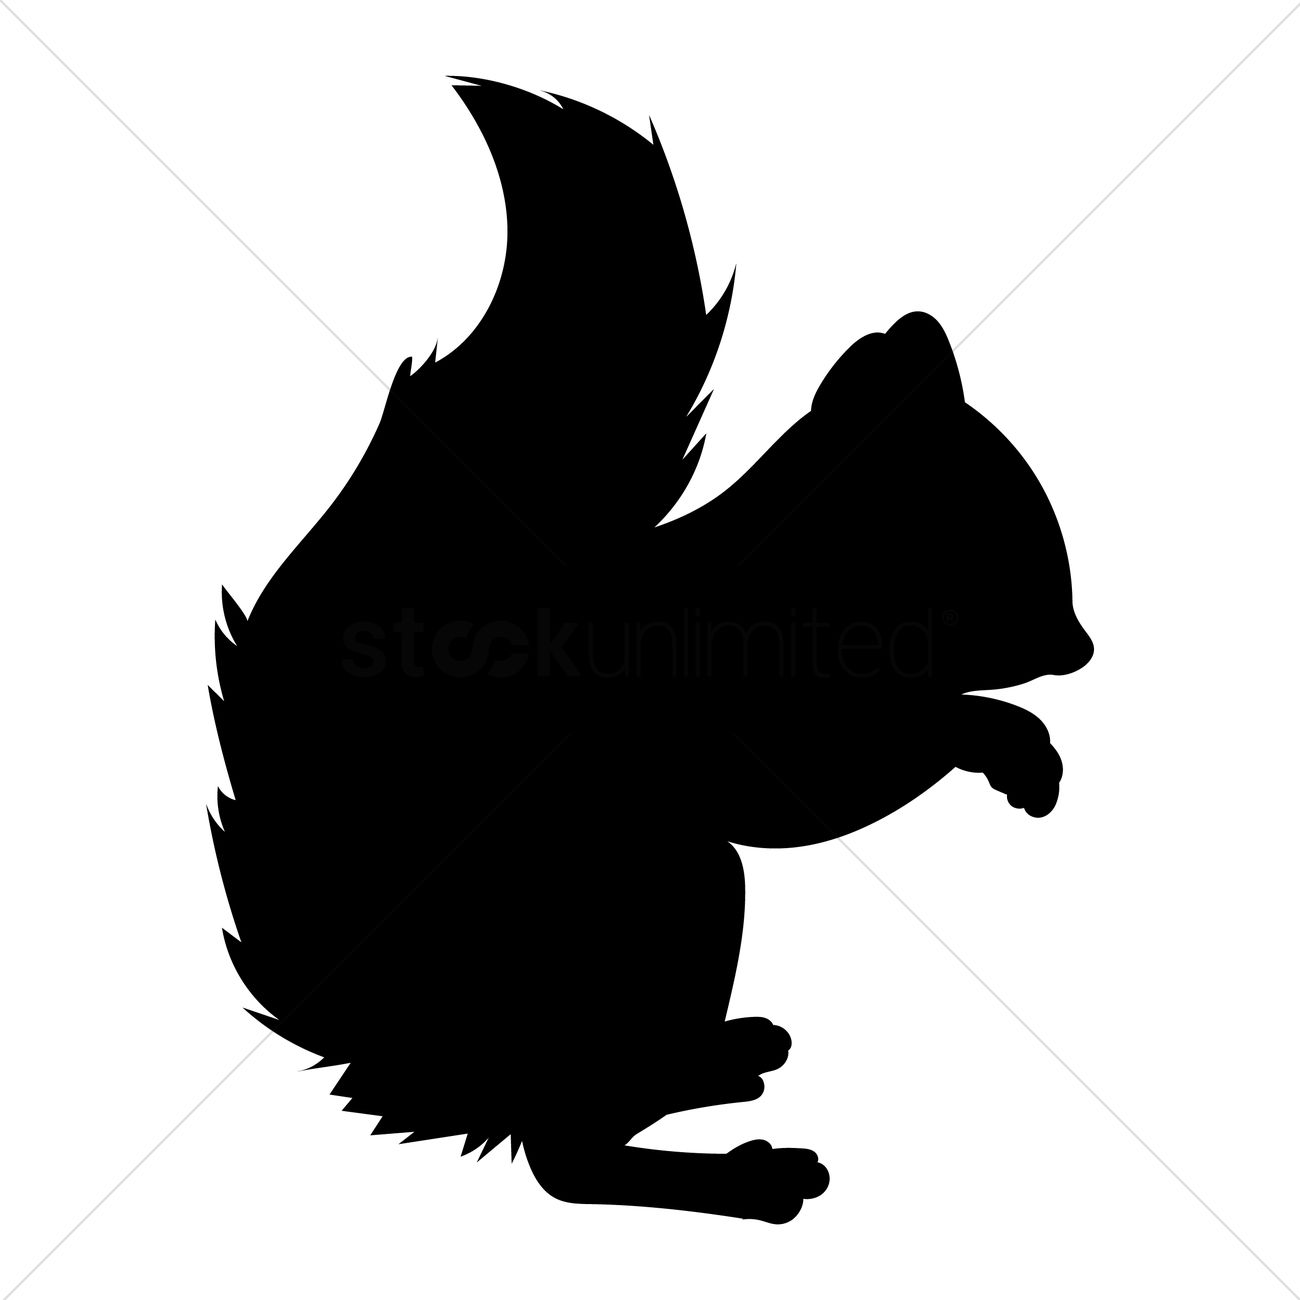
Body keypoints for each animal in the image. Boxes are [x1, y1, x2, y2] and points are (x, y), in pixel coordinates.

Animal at [210, 78, 1093, 1223]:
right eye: (998, 540)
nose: (1080, 647)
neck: (806, 575)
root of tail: (422, 1048)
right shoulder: (726, 711)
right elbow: (830, 774)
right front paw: (1005, 745)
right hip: (657, 897)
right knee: (565, 1158)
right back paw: (749, 1171)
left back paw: (720, 1060)